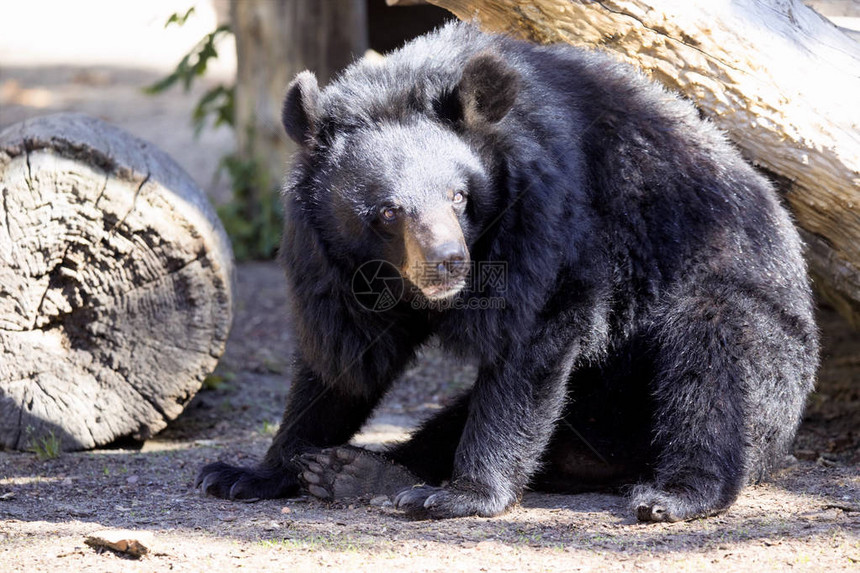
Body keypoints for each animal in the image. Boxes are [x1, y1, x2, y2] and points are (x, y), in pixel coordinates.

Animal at [197, 23, 820, 524]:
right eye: (388, 212)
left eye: (458, 196)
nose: (449, 262)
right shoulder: (329, 260)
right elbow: (343, 360)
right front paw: (246, 473)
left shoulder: (547, 210)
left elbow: (531, 336)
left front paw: (462, 495)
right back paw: (355, 473)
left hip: (759, 343)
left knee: (714, 358)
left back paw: (676, 494)